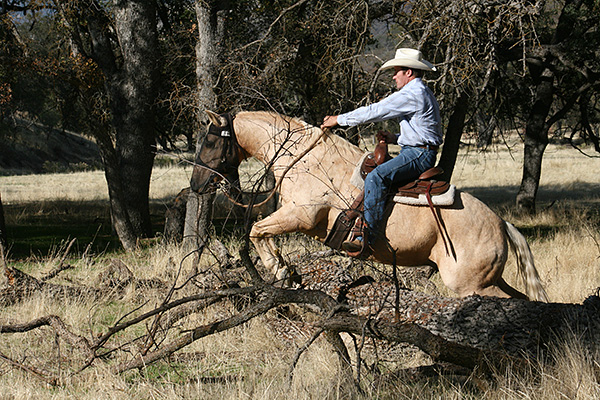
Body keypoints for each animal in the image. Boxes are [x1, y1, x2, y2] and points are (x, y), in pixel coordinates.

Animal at [192, 109, 548, 300]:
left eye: (209, 141)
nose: (197, 184)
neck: (304, 159)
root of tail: (501, 224)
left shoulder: (301, 215)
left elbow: (256, 230)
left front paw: (279, 267)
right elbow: (260, 232)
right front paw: (284, 269)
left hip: (473, 286)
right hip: (490, 280)